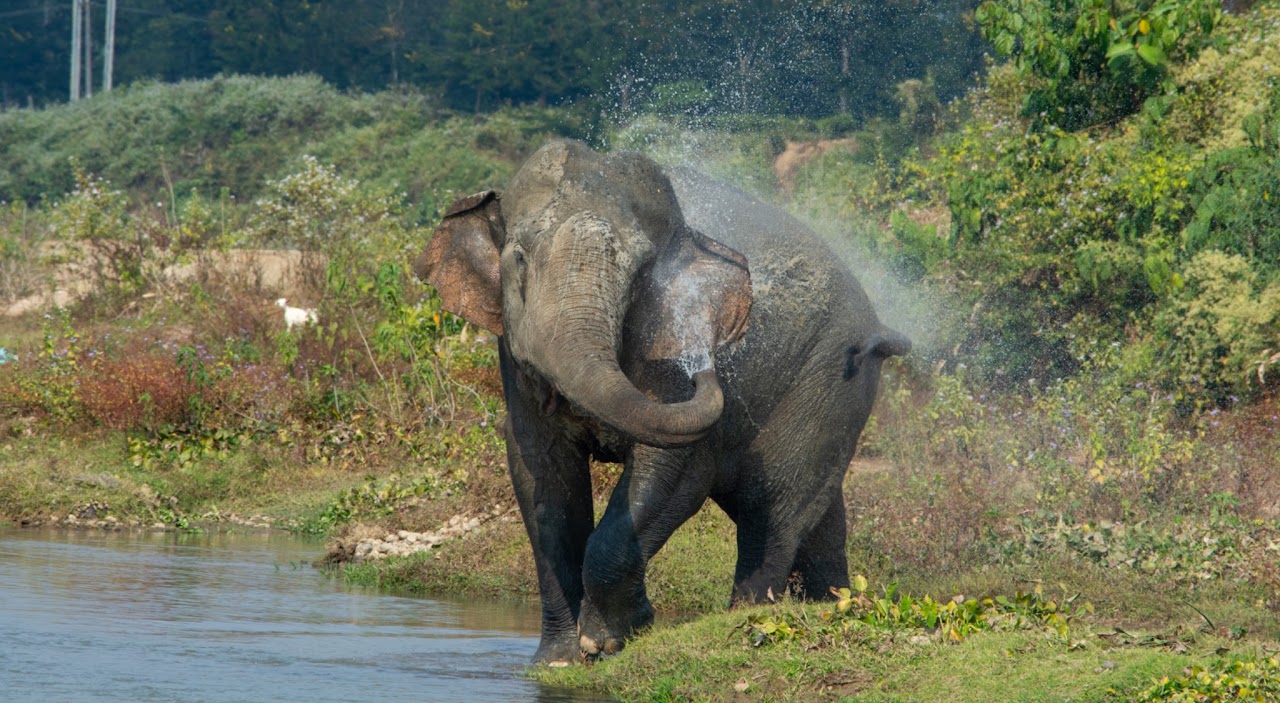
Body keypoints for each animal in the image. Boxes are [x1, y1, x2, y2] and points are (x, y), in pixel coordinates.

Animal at [417, 139, 909, 665]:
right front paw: (559, 659)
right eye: (520, 259)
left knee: (773, 507)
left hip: (828, 382)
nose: (708, 362)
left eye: (639, 275)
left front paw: (612, 638)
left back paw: (749, 617)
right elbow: (540, 472)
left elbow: (674, 468)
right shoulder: (513, 357)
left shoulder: (671, 342)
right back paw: (829, 603)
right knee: (814, 515)